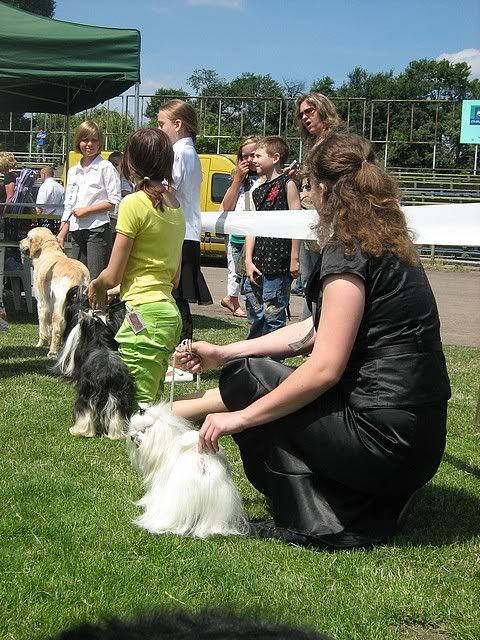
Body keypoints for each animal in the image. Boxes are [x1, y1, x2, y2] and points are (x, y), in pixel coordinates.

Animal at [19, 227, 90, 358]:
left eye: (27, 236)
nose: (19, 242)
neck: (48, 248)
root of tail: (77, 274)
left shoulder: (42, 303)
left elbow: (43, 325)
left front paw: (40, 343)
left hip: (59, 307)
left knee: (58, 327)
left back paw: (52, 351)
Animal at [55, 307, 135, 439]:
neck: (100, 343)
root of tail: (108, 374)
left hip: (88, 394)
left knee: (85, 413)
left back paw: (81, 431)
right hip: (121, 396)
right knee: (118, 415)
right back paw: (118, 434)